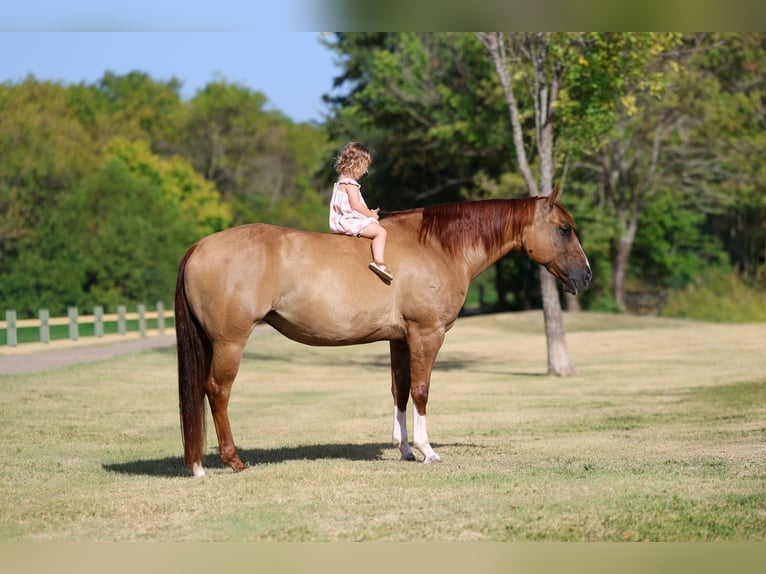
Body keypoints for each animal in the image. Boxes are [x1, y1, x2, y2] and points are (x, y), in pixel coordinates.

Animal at [175, 185, 591, 477]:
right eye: (564, 229)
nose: (586, 276)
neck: (438, 247)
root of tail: (198, 246)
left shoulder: (399, 339)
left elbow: (400, 391)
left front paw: (405, 449)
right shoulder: (427, 334)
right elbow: (421, 391)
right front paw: (427, 451)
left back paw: (198, 464)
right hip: (229, 342)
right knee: (217, 391)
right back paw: (232, 461)